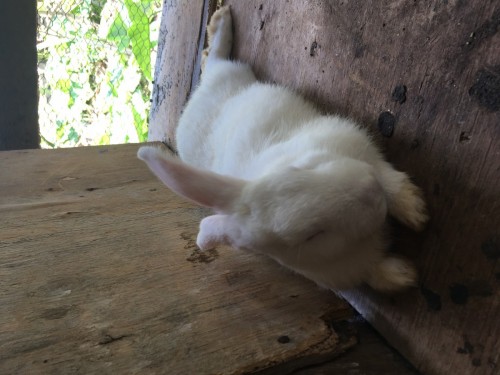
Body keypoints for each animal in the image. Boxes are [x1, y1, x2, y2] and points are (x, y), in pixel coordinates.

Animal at [139, 6, 428, 294]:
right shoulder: (346, 270)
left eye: (300, 169)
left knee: (217, 58)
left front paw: (417, 211)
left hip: (233, 74)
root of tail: (194, 101)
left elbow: (392, 181)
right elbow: (374, 273)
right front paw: (405, 275)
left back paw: (221, 19)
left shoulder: (361, 149)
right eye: (313, 236)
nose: (371, 191)